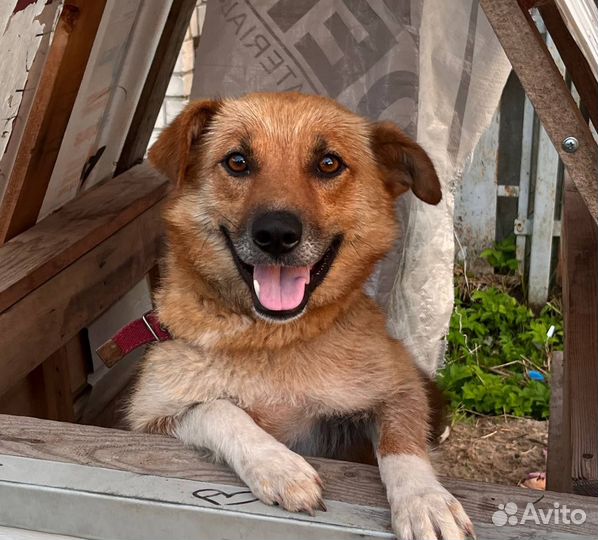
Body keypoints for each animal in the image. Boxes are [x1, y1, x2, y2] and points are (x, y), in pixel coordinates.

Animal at [129, 93, 476, 540]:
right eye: (237, 161)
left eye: (329, 163)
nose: (276, 234)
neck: (273, 338)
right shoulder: (150, 417)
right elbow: (218, 408)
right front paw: (279, 466)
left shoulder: (400, 388)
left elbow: (403, 446)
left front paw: (425, 500)